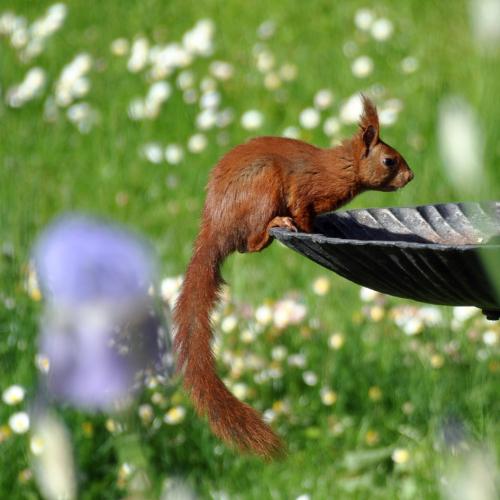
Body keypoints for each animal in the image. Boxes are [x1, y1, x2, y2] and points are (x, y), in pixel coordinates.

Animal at [172, 95, 414, 458]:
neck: (338, 168)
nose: (410, 176)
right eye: (389, 160)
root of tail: (214, 226)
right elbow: (303, 211)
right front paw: (313, 230)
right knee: (250, 244)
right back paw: (275, 226)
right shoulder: (304, 189)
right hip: (264, 188)